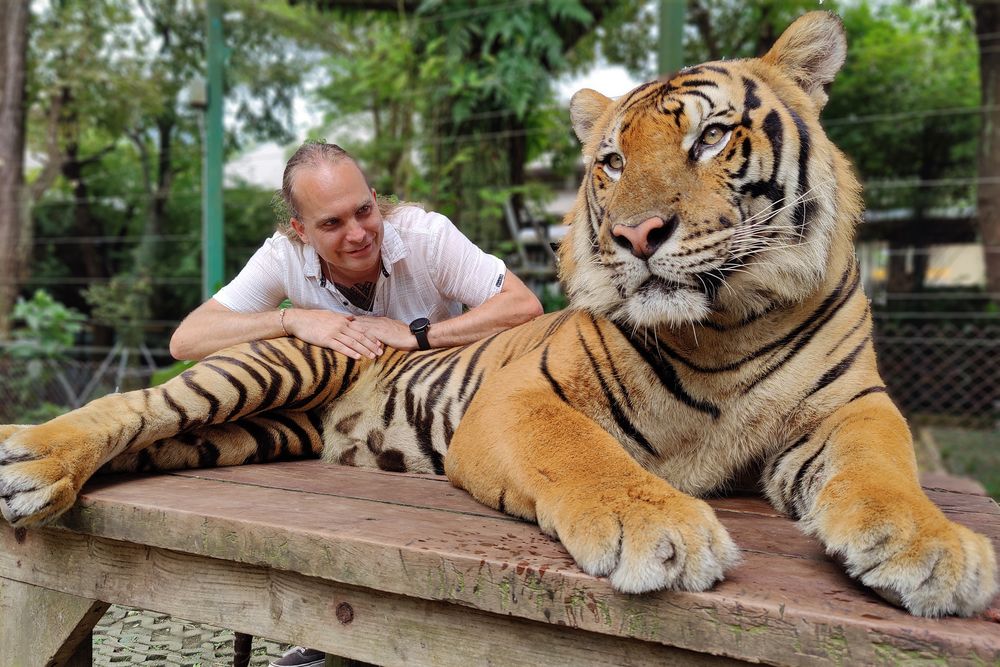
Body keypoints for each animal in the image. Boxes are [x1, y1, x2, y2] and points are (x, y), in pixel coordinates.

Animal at [0, 10, 996, 620]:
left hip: (252, 432)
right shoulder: (519, 401)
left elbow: (882, 470)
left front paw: (934, 548)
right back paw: (33, 460)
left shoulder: (848, 406)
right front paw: (662, 529)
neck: (725, 322)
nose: (636, 234)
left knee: (160, 439)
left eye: (711, 136)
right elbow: (586, 454)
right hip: (278, 359)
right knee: (137, 405)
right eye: (610, 161)